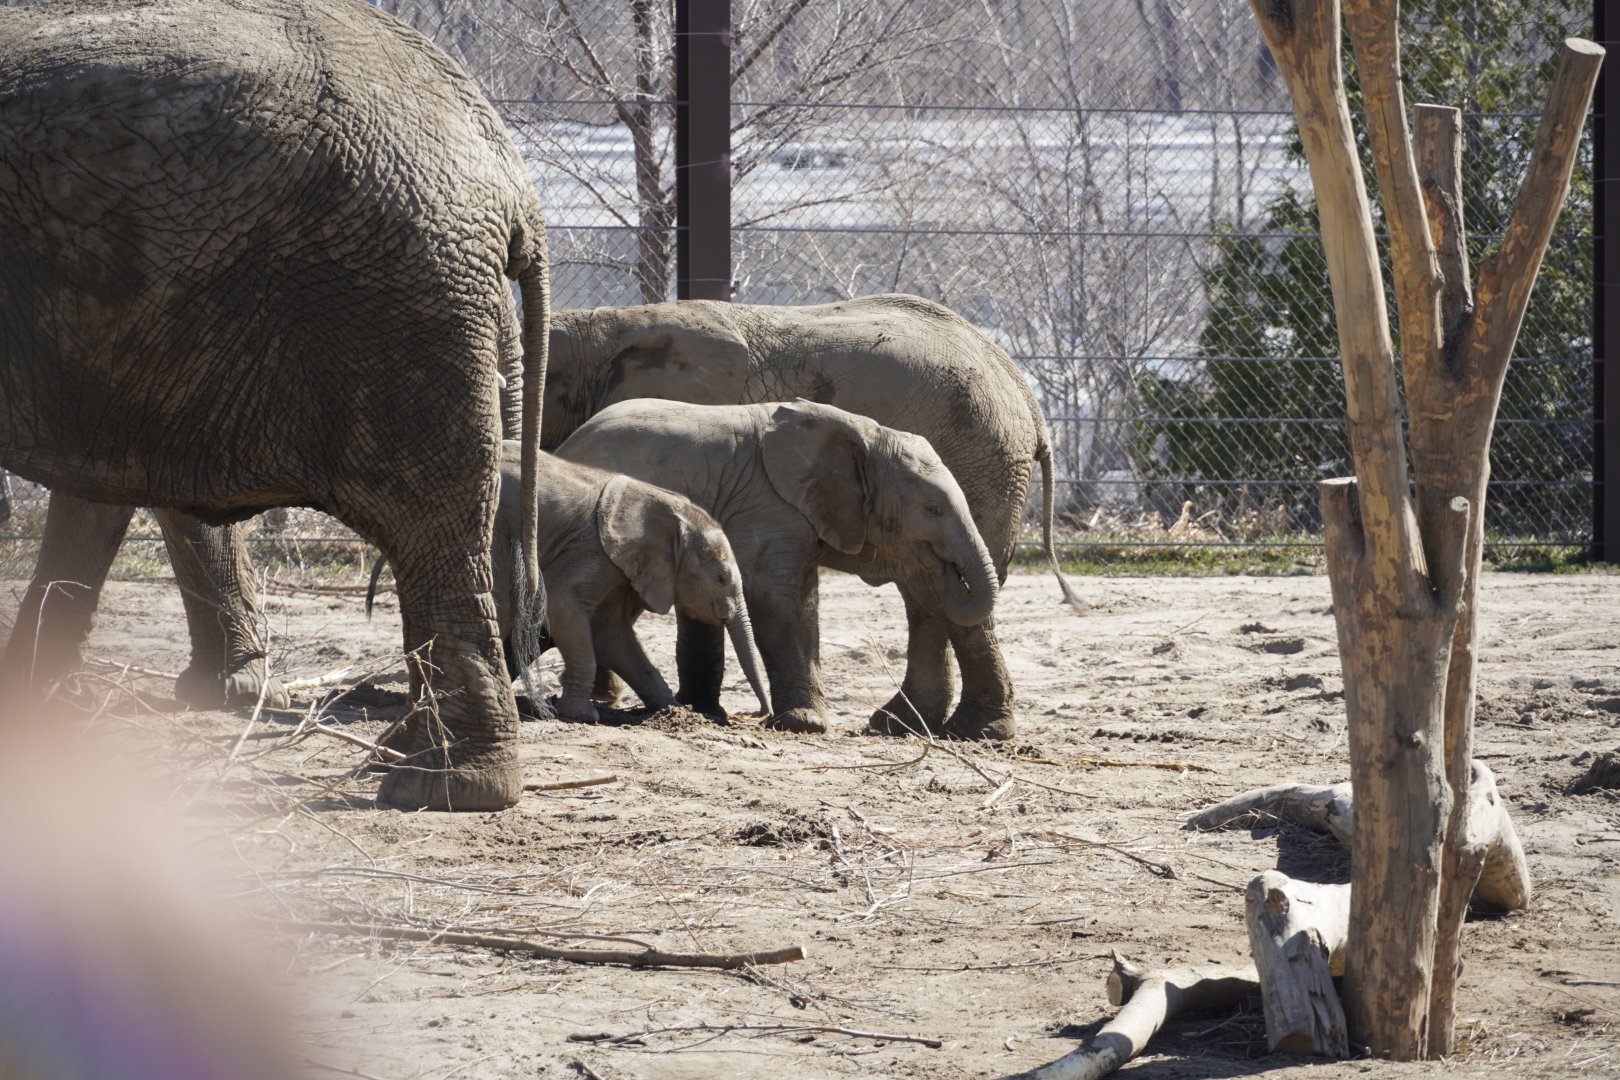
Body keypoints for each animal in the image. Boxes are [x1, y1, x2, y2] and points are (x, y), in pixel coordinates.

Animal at [554, 399, 1000, 735]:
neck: (869, 435)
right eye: (933, 509)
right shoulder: (768, 504)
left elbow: (805, 601)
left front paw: (808, 718)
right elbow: (770, 596)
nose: (946, 568)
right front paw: (805, 724)